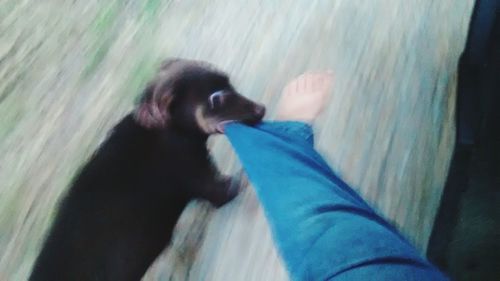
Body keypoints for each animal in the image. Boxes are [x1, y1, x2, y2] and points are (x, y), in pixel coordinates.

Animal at [30, 58, 266, 278]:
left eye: (229, 82)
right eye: (215, 98)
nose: (261, 109)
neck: (169, 132)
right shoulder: (203, 180)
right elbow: (232, 186)